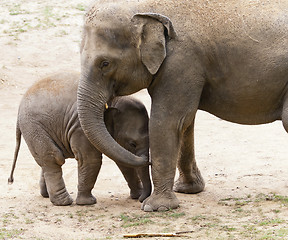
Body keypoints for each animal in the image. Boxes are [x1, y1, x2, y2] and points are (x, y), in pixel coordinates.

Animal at [8, 71, 152, 206]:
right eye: (132, 143)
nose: (149, 161)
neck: (112, 100)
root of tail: (19, 110)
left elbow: (123, 161)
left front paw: (136, 196)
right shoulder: (80, 126)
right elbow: (90, 158)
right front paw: (87, 202)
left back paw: (46, 195)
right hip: (34, 128)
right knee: (53, 158)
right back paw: (64, 202)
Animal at [76, 0, 288, 211]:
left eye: (105, 63)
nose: (146, 159)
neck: (146, 7)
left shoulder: (181, 62)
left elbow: (167, 121)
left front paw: (156, 207)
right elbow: (185, 123)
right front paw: (187, 190)